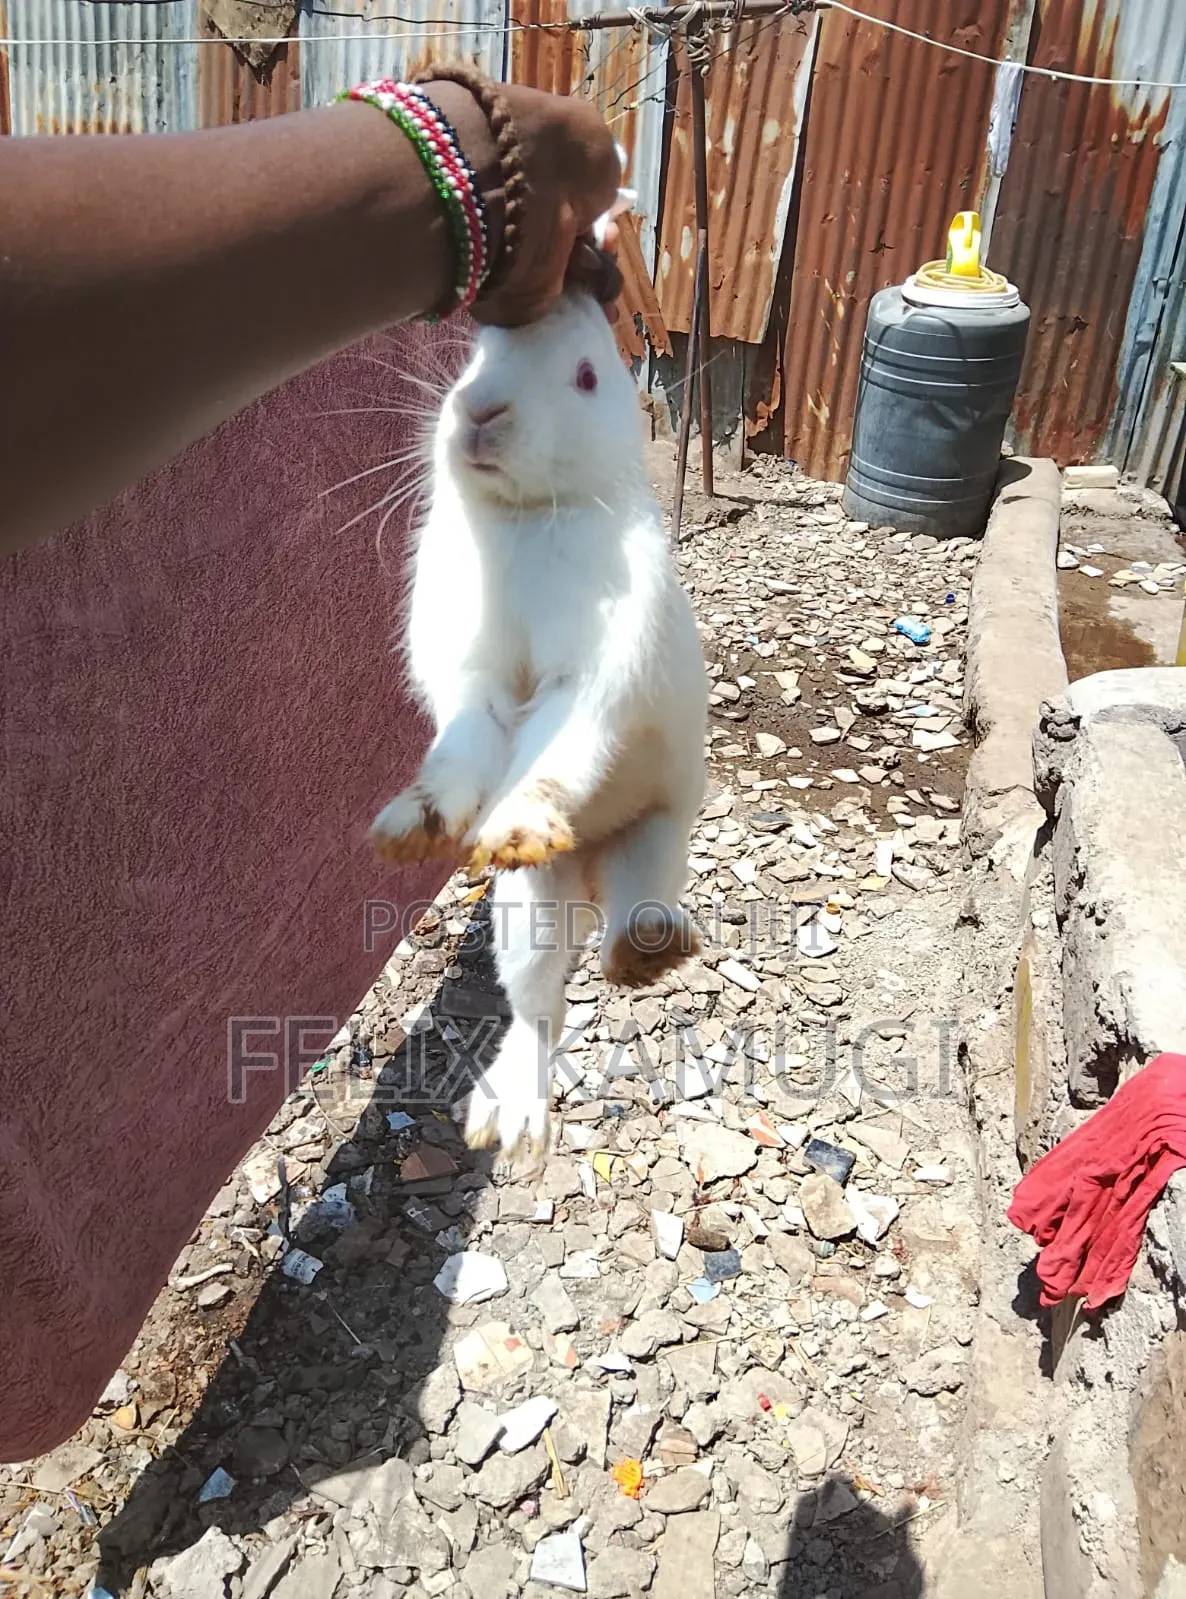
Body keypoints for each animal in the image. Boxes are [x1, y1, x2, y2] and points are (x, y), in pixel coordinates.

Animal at [372, 288, 708, 1160]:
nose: (479, 411)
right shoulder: (475, 684)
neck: (525, 515)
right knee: (536, 1006)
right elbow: (462, 751)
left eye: (587, 376)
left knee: (632, 915)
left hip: (656, 840)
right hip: (525, 909)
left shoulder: (587, 684)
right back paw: (510, 1117)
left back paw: (648, 954)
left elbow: (553, 752)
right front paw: (415, 824)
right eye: (472, 357)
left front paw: (519, 823)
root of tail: (583, 871)